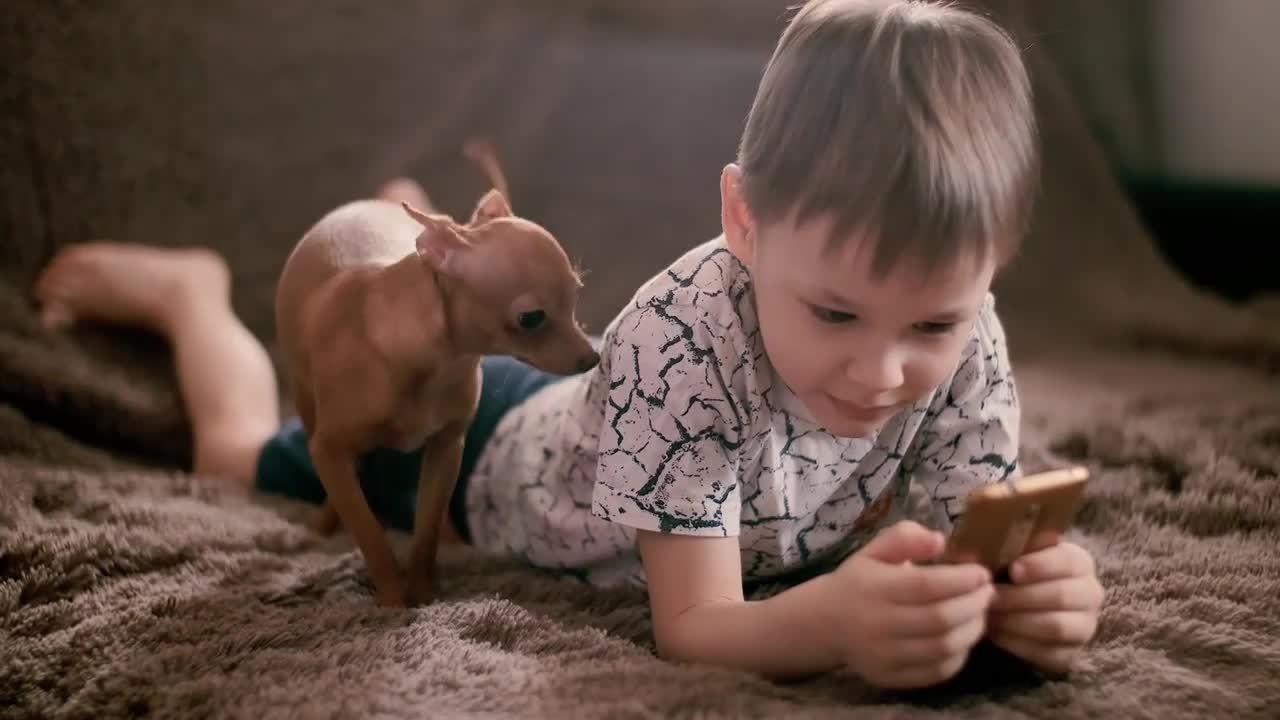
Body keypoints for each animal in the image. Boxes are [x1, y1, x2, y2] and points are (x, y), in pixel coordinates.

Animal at [277, 141, 596, 604]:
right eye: (532, 318)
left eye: (576, 296)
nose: (591, 358)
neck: (435, 363)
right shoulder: (329, 451)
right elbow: (370, 532)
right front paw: (394, 600)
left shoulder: (447, 448)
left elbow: (425, 529)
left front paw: (425, 593)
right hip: (307, 405)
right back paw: (323, 526)